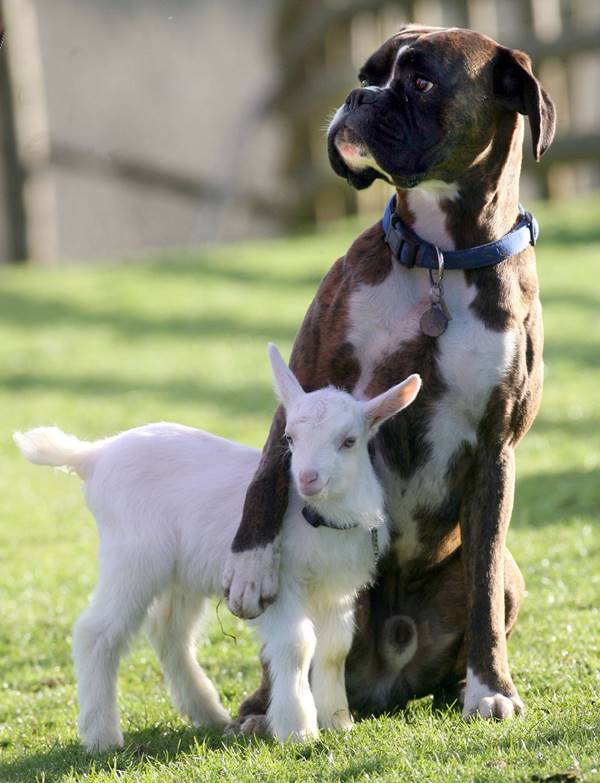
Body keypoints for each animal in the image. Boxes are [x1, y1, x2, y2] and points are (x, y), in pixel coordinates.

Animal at [223, 24, 556, 724]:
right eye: (367, 74)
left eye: (422, 81)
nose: (357, 98)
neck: (440, 258)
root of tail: (383, 680)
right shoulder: (306, 377)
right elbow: (268, 470)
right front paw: (249, 565)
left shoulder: (497, 448)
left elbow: (483, 584)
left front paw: (492, 689)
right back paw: (261, 707)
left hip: (510, 579)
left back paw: (457, 686)